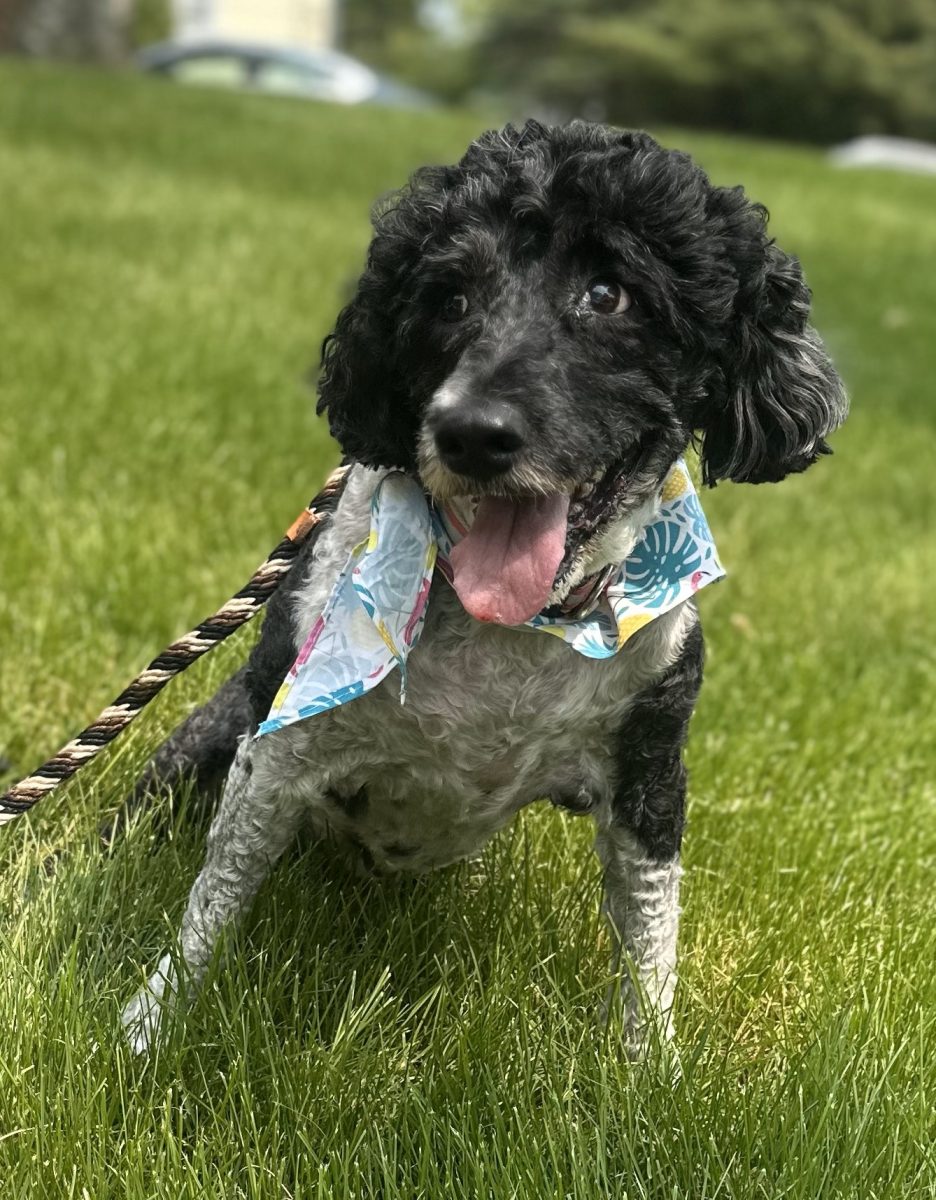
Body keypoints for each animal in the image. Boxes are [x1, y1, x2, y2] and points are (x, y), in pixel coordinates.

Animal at [119, 120, 846, 1054]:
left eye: (609, 293)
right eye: (449, 298)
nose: (470, 432)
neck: (519, 631)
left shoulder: (650, 777)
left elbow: (651, 941)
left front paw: (650, 1070)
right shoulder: (279, 755)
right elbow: (215, 899)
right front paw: (152, 1021)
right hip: (204, 740)